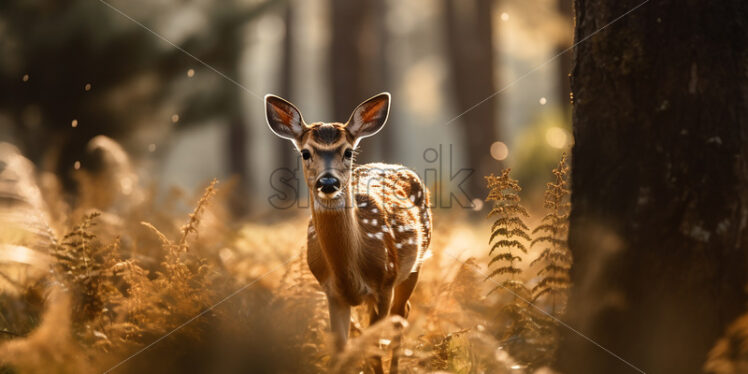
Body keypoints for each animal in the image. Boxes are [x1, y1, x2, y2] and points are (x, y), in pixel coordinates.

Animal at [266, 92, 432, 372]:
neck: (349, 269)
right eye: (305, 152)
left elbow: (374, 350)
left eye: (348, 151)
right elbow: (342, 353)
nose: (328, 182)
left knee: (401, 315)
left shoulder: (384, 283)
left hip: (415, 263)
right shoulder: (331, 292)